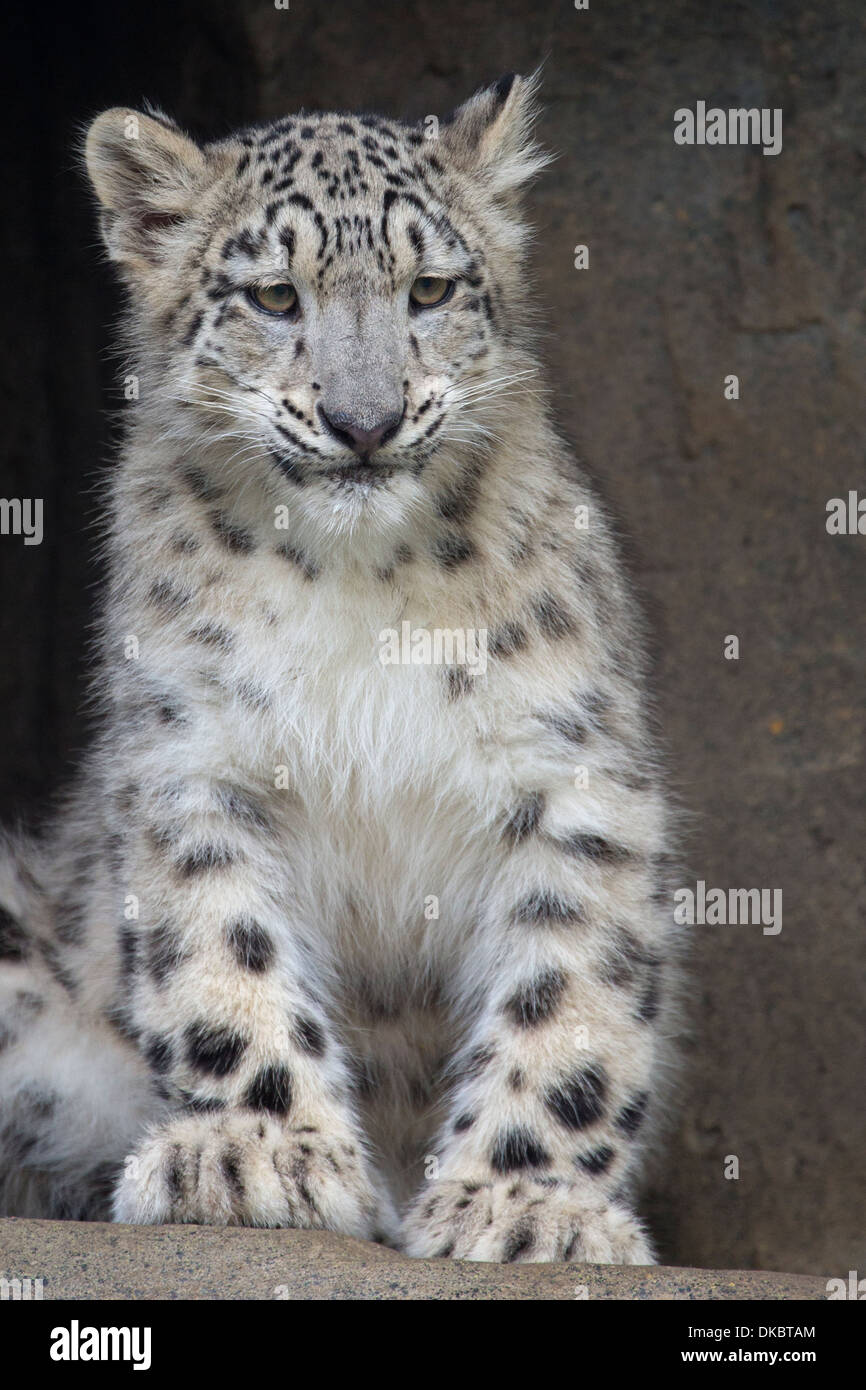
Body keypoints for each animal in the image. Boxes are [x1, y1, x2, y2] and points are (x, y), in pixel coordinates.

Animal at [0, 73, 680, 1264]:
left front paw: (526, 1204)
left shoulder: (572, 777)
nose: (364, 422)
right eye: (275, 297)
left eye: (430, 287)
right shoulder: (195, 758)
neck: (362, 580)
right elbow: (224, 955)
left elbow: (569, 995)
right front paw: (253, 1155)